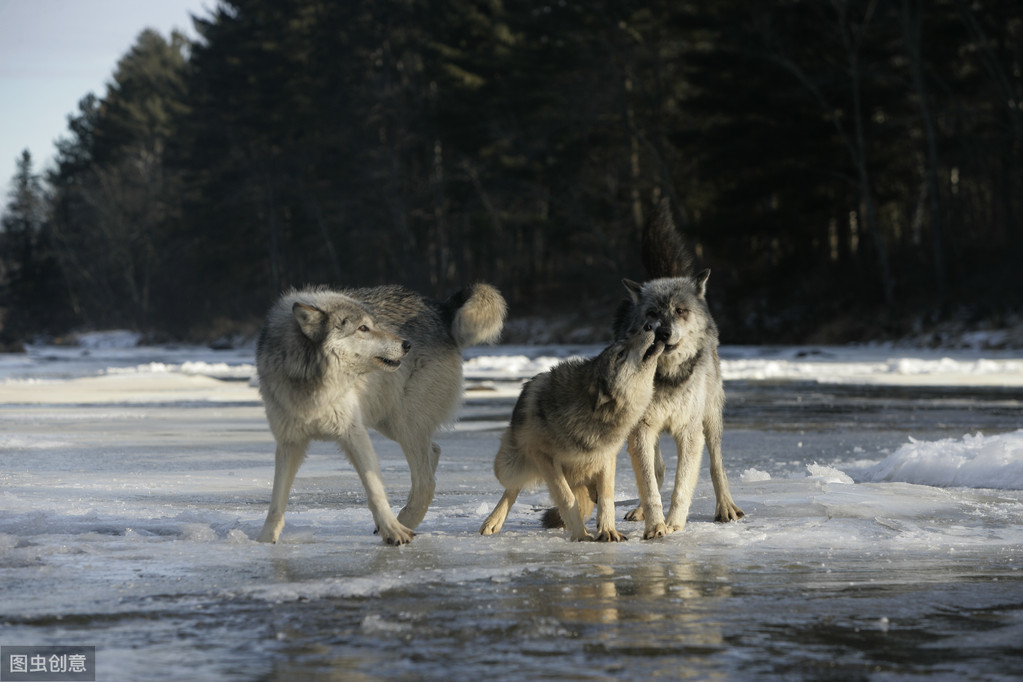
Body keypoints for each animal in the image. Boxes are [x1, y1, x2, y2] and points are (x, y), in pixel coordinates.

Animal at [478, 327, 662, 539]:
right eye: (620, 354)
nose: (648, 326)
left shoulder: (607, 454)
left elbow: (607, 496)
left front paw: (608, 530)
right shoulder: (544, 458)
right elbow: (567, 498)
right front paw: (582, 535)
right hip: (507, 467)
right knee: (513, 487)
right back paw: (492, 522)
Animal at [613, 200, 744, 539]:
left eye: (681, 311)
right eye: (651, 314)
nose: (662, 332)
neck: (667, 376)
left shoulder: (689, 432)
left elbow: (683, 484)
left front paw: (674, 523)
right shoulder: (642, 430)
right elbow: (649, 483)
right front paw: (655, 524)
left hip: (711, 417)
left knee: (716, 464)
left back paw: (726, 507)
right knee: (658, 469)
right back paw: (639, 510)